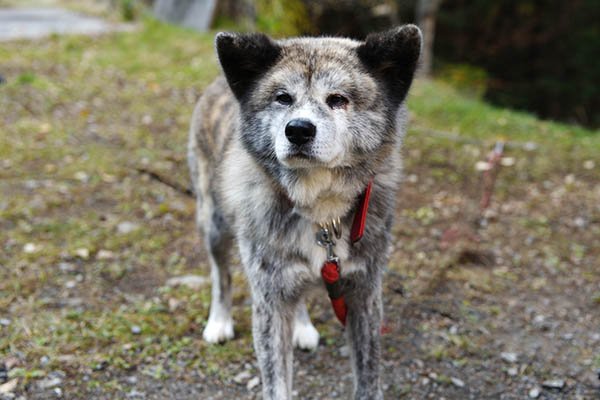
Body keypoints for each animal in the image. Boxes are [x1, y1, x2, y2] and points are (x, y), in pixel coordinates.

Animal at [188, 25, 422, 400]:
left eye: (338, 99)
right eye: (283, 98)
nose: (298, 129)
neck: (321, 211)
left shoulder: (364, 297)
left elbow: (368, 378)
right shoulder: (269, 303)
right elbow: (276, 383)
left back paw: (302, 327)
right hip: (214, 222)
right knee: (220, 274)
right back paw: (219, 322)